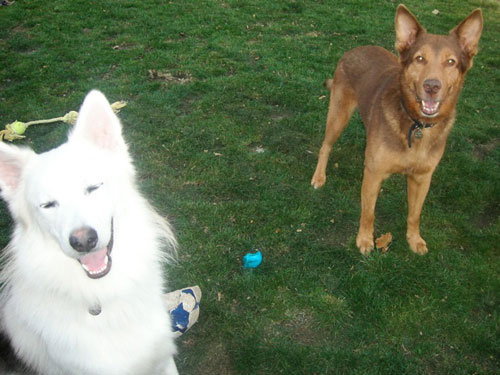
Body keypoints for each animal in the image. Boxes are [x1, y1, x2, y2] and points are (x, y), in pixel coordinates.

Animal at [312, 4, 480, 256]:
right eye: (420, 59)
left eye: (451, 62)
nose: (432, 87)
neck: (416, 124)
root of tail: (356, 48)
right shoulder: (374, 175)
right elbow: (368, 213)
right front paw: (364, 240)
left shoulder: (422, 178)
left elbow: (414, 214)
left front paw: (414, 239)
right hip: (338, 116)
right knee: (325, 146)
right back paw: (319, 176)